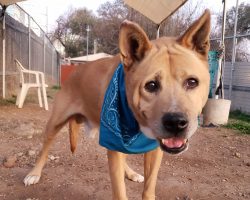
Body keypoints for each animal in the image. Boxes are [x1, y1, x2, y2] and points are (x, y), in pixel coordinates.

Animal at [23, 10, 211, 199]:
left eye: (192, 82)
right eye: (151, 85)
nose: (176, 123)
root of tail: (75, 71)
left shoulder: (153, 149)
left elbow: (149, 187)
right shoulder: (114, 143)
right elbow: (120, 191)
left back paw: (130, 173)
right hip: (56, 124)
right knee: (45, 148)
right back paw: (34, 173)